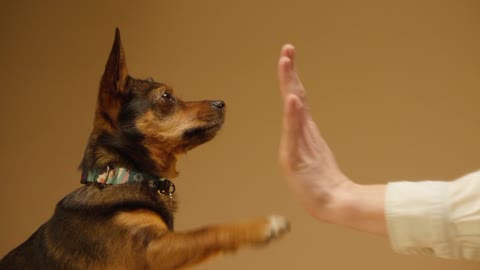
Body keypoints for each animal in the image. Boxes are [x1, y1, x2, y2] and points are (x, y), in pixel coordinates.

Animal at [0, 28, 288, 268]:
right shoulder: (150, 250)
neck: (122, 174)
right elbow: (209, 230)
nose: (221, 103)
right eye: (167, 97)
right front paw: (263, 225)